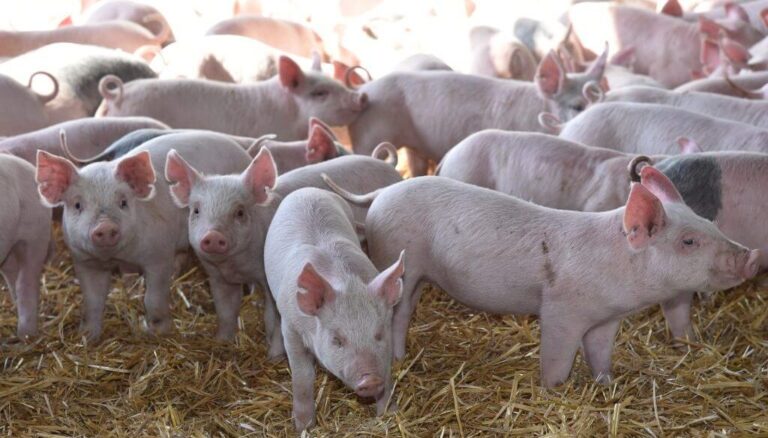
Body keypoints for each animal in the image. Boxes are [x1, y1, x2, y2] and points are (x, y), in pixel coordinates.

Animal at [34, 132, 252, 341]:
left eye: (123, 202)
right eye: (78, 205)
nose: (105, 226)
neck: (117, 256)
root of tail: (243, 153)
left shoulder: (159, 255)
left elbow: (153, 298)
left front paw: (156, 332)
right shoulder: (84, 261)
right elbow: (92, 300)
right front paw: (87, 336)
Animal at [164, 149, 402, 341]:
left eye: (240, 212)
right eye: (196, 210)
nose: (213, 235)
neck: (237, 267)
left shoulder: (268, 278)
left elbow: (273, 319)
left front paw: (274, 357)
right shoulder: (218, 278)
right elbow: (225, 311)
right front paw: (221, 342)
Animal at [264, 188, 404, 431]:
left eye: (379, 334)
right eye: (337, 340)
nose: (370, 379)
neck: (345, 282)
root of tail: (308, 190)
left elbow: (387, 372)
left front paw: (389, 413)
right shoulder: (291, 328)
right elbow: (302, 377)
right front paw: (304, 427)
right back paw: (273, 356)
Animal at [321, 173, 761, 386]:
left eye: (709, 224)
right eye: (688, 241)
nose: (751, 256)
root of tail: (381, 191)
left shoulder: (606, 319)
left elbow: (600, 353)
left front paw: (606, 384)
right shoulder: (562, 310)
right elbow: (557, 357)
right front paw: (555, 389)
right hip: (397, 258)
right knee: (398, 313)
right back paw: (398, 360)